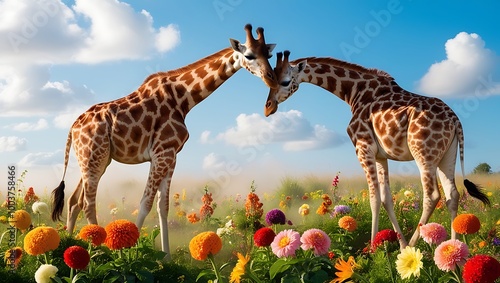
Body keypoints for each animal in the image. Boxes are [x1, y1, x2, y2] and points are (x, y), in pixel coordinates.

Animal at [51, 25, 278, 260]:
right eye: (249, 55)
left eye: (269, 55)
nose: (272, 78)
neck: (184, 99)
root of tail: (72, 128)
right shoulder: (162, 153)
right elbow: (145, 203)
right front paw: (132, 251)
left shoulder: (171, 156)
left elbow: (163, 206)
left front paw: (166, 258)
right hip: (93, 157)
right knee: (88, 203)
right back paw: (99, 251)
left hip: (96, 159)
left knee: (74, 201)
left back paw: (72, 246)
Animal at [264, 50, 490, 248]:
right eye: (269, 80)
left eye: (285, 82)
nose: (268, 108)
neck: (352, 93)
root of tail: (455, 120)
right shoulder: (381, 156)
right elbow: (387, 198)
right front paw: (398, 243)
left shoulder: (363, 148)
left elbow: (374, 199)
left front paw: (373, 248)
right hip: (447, 155)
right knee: (453, 194)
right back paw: (454, 247)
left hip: (424, 154)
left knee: (433, 195)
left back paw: (414, 246)